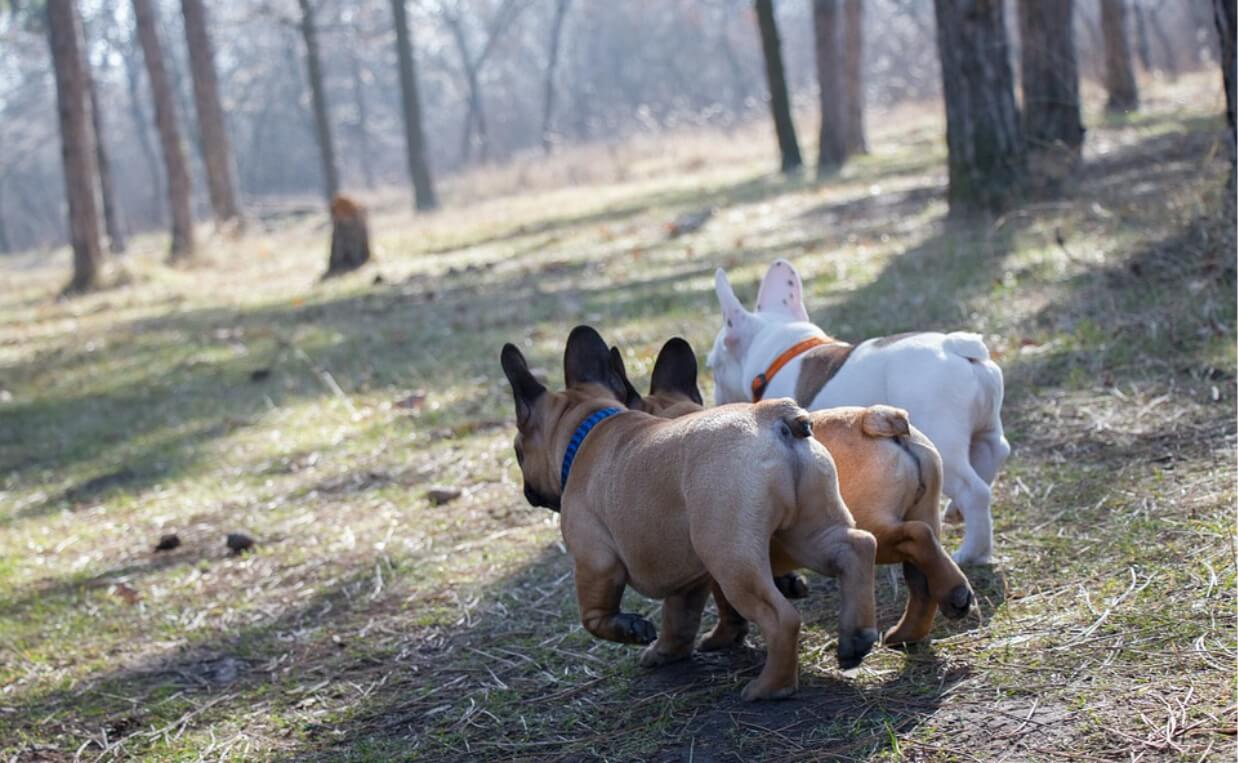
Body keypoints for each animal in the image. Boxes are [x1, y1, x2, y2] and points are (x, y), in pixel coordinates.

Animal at [502, 324, 881, 698]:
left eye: (518, 453)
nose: (526, 491)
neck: (588, 429)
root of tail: (774, 416)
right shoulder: (686, 581)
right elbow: (678, 619)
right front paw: (667, 652)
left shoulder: (594, 562)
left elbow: (594, 616)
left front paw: (631, 629)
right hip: (808, 530)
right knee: (856, 547)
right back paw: (856, 636)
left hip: (731, 559)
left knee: (781, 617)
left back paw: (770, 687)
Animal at [619, 336, 975, 639]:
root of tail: (875, 418)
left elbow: (724, 606)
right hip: (924, 509)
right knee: (921, 579)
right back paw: (916, 626)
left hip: (872, 526)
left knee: (913, 538)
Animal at [708, 258, 1005, 562]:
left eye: (712, 367)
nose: (715, 398)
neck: (780, 353)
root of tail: (956, 346)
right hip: (986, 428)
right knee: (995, 454)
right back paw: (957, 512)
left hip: (943, 439)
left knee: (974, 491)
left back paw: (971, 552)